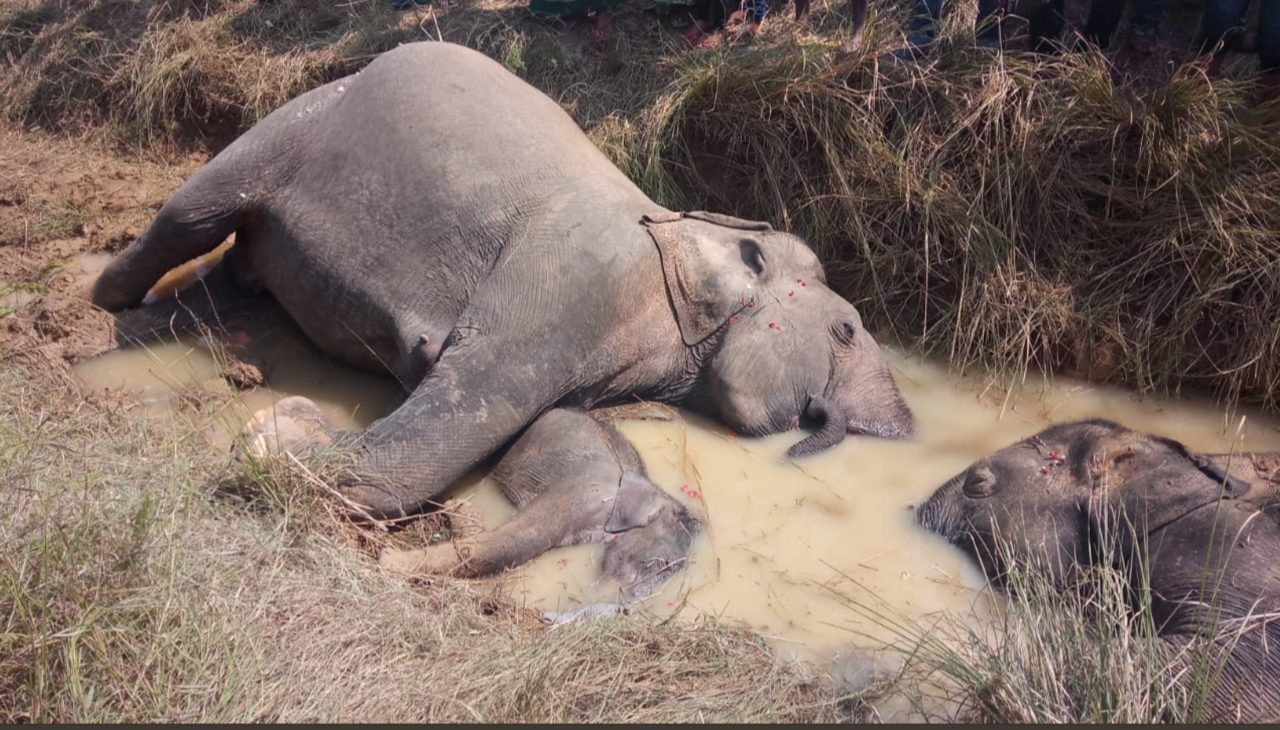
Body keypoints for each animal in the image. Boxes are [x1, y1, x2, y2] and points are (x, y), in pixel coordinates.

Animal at [89, 41, 913, 519]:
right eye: (846, 329)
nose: (906, 434)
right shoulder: (578, 280)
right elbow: (463, 406)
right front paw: (278, 438)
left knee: (235, 274)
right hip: (304, 115)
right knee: (193, 213)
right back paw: (103, 313)